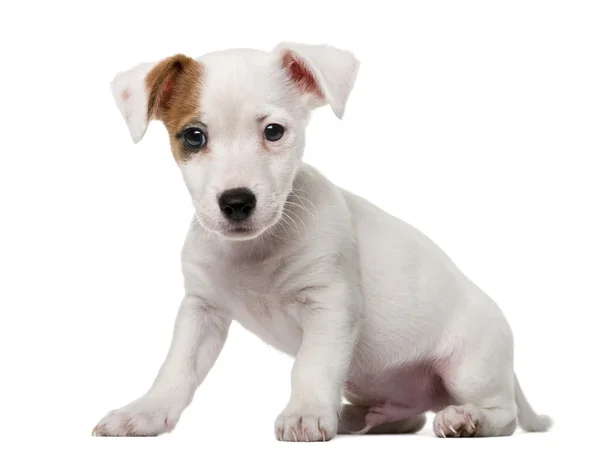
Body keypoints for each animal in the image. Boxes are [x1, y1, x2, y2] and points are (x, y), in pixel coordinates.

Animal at [91, 42, 552, 440]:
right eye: (193, 136)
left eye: (274, 131)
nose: (237, 202)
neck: (256, 249)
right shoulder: (201, 312)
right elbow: (176, 370)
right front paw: (144, 413)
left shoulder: (330, 304)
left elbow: (311, 366)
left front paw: (306, 412)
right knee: (408, 416)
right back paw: (360, 417)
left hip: (469, 369)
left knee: (503, 414)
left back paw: (464, 419)